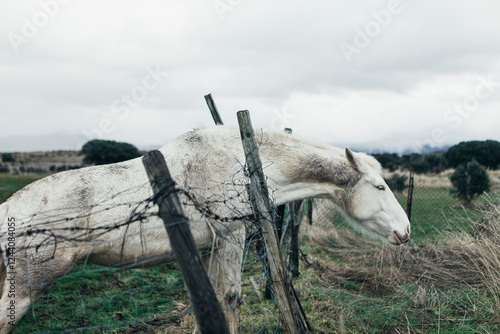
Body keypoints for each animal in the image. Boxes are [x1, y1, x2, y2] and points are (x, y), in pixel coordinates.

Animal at [0, 126, 410, 332]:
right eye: (379, 187)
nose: (405, 230)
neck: (240, 162)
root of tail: (9, 210)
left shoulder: (210, 248)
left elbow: (210, 300)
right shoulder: (231, 237)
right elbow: (230, 299)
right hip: (28, 286)